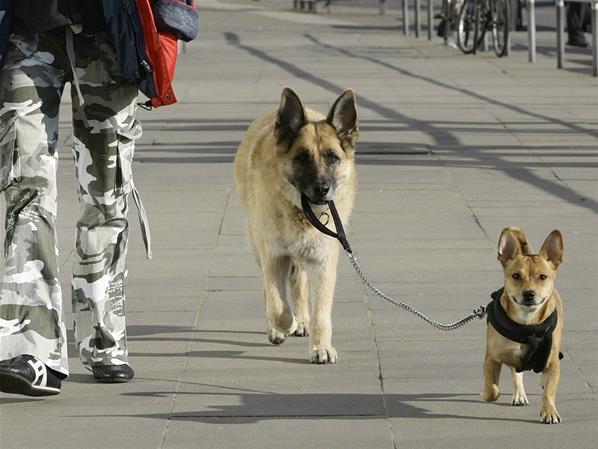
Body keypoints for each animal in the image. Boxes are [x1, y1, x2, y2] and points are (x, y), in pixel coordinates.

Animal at [234, 87, 358, 364]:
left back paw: (302, 321)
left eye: (332, 158)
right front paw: (285, 325)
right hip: (260, 248)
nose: (323, 189)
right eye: (302, 157)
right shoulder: (274, 257)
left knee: (298, 283)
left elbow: (320, 313)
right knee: (270, 291)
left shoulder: (323, 263)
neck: (302, 212)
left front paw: (321, 346)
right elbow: (277, 304)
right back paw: (281, 328)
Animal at [482, 228, 568, 424]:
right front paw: (486, 393)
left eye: (542, 277)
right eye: (516, 276)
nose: (529, 294)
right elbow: (492, 389)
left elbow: (549, 391)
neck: (527, 325)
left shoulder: (553, 363)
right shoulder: (491, 359)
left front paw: (550, 411)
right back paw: (519, 394)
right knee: (516, 373)